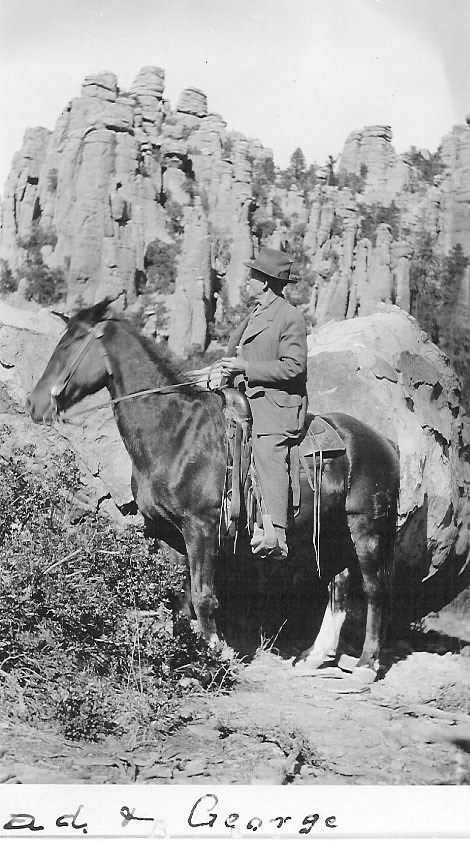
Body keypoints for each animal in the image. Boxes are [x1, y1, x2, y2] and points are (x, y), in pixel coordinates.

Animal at [26, 299, 400, 676]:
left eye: (69, 345)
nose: (34, 403)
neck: (174, 432)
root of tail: (383, 442)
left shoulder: (201, 529)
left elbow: (203, 594)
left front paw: (214, 652)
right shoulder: (169, 532)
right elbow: (178, 597)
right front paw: (181, 657)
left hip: (366, 527)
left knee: (374, 588)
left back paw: (367, 663)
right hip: (332, 529)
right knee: (339, 583)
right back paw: (314, 655)